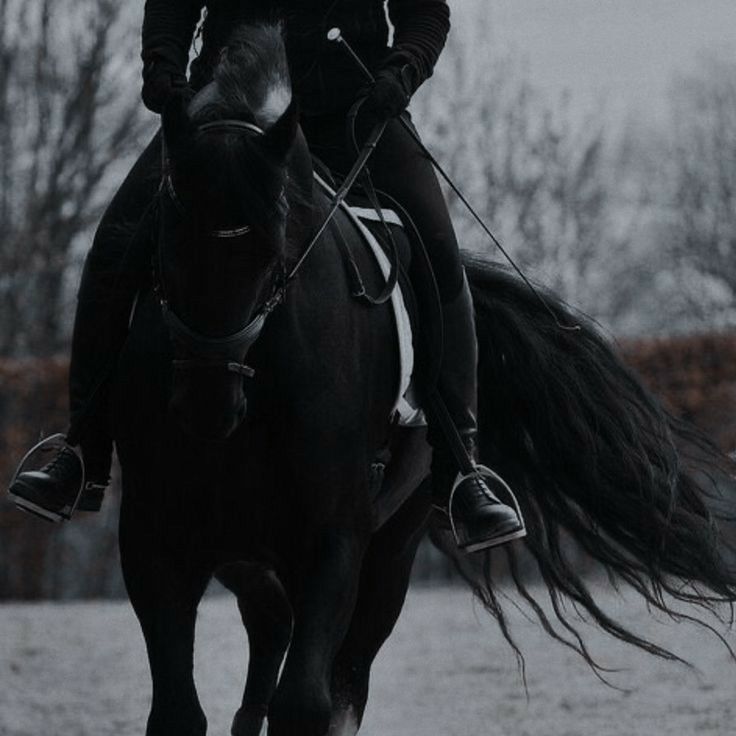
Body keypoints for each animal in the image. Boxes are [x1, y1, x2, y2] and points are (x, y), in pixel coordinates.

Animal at [112, 23, 732, 736]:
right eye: (164, 238)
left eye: (275, 249)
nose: (207, 402)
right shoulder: (155, 540)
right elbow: (178, 709)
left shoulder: (335, 541)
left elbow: (307, 703)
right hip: (251, 552)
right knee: (269, 630)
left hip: (389, 550)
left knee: (334, 672)